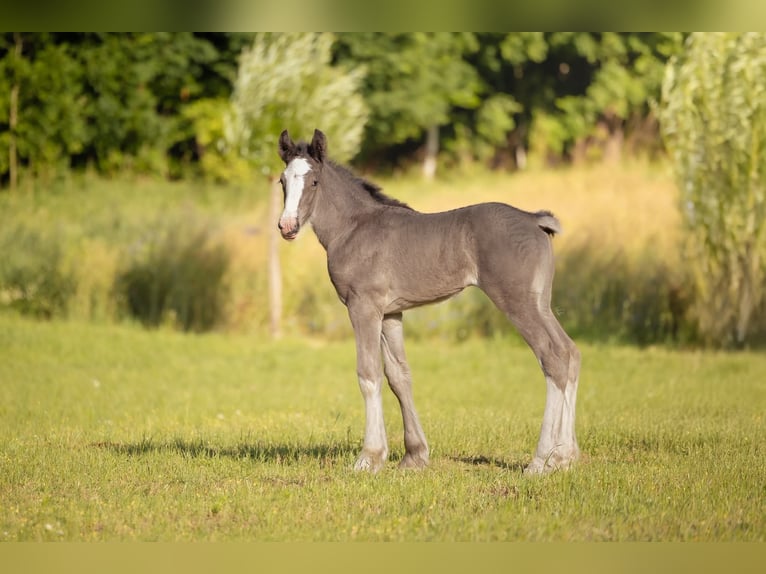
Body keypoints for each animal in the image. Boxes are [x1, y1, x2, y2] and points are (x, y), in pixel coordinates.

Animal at [276, 128, 580, 475]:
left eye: (313, 181)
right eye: (282, 181)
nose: (287, 226)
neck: (354, 228)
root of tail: (533, 219)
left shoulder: (363, 307)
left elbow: (368, 374)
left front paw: (368, 458)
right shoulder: (391, 313)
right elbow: (398, 376)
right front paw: (414, 456)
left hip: (517, 302)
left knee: (552, 356)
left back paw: (542, 461)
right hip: (541, 303)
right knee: (570, 353)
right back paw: (565, 457)